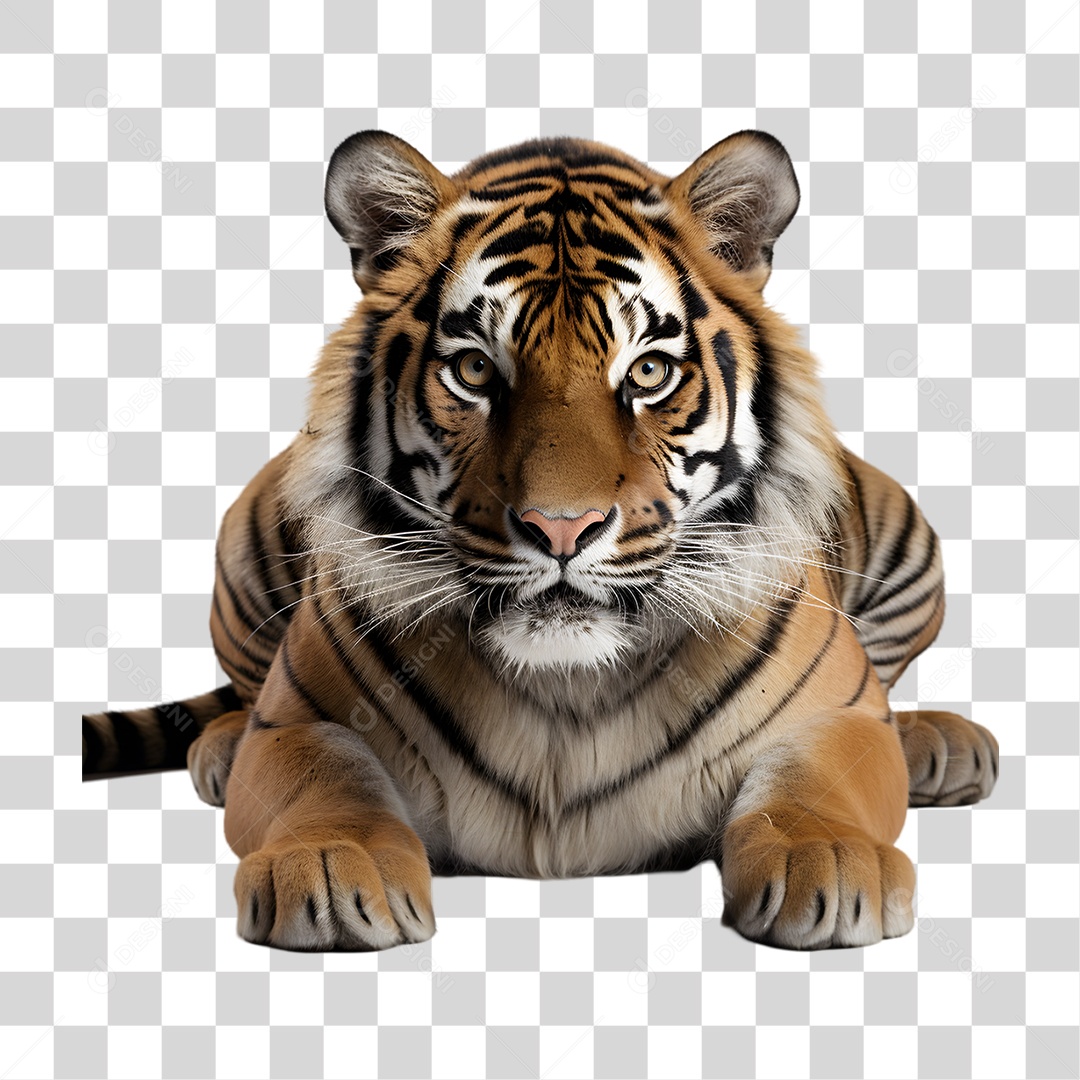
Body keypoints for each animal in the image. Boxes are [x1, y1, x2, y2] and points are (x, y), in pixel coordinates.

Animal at [83, 129, 999, 952]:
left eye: (648, 372)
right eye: (475, 371)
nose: (562, 527)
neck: (568, 688)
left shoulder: (831, 718)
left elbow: (815, 782)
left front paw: (832, 863)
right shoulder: (302, 720)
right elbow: (323, 778)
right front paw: (332, 869)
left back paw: (941, 744)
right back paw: (218, 750)